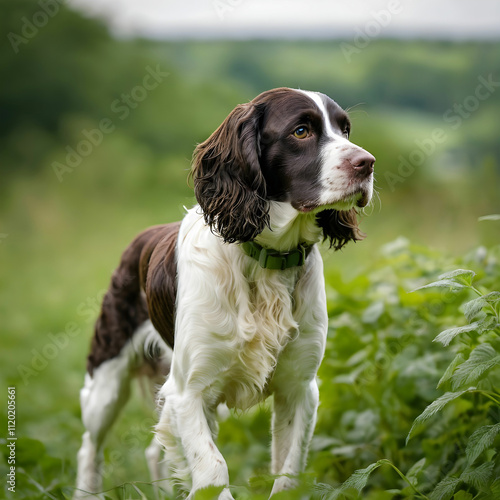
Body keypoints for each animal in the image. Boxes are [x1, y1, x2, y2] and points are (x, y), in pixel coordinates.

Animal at [75, 88, 376, 498]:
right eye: (301, 130)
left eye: (345, 130)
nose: (368, 164)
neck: (267, 260)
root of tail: (141, 237)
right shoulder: (190, 392)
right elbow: (213, 472)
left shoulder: (299, 389)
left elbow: (288, 475)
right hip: (107, 377)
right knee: (90, 446)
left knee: (155, 450)